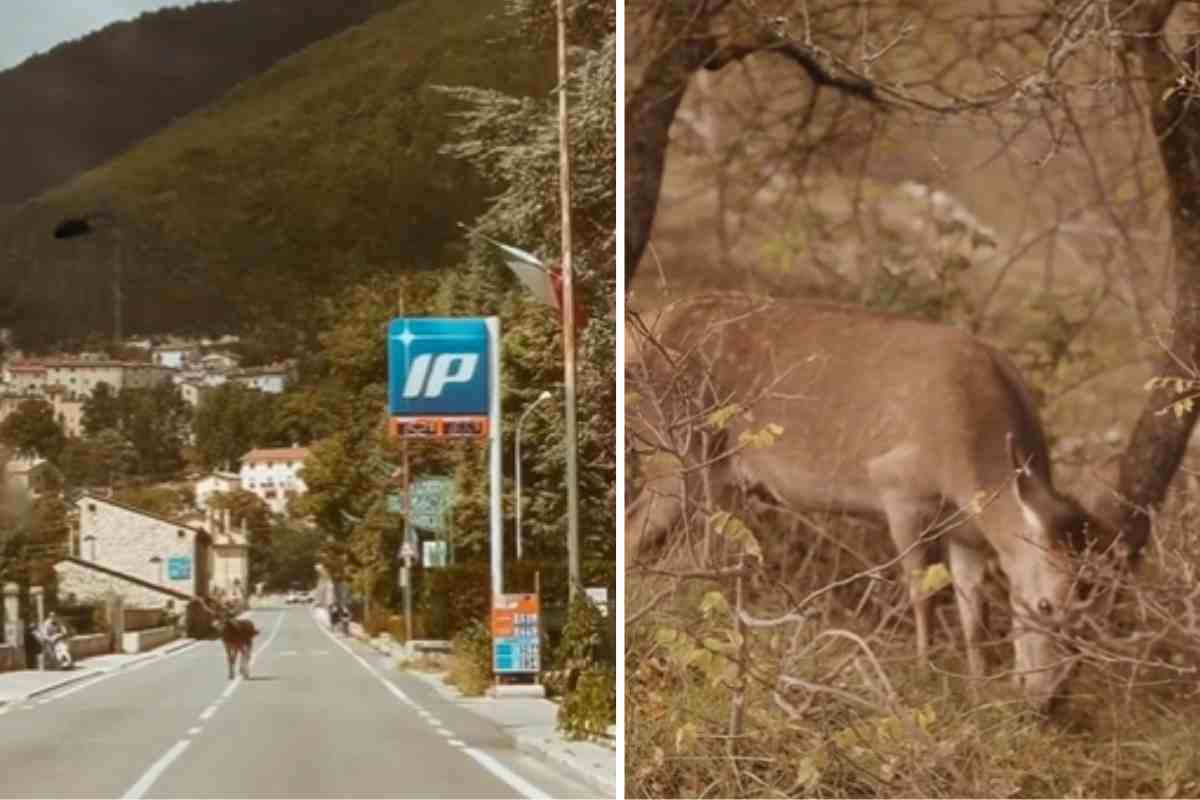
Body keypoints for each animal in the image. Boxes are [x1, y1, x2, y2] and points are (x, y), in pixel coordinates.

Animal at [628, 292, 1113, 714]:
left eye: (1092, 613)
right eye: (1046, 604)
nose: (1050, 700)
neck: (968, 467)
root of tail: (645, 329)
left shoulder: (966, 534)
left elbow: (972, 612)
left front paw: (977, 690)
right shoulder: (899, 489)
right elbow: (922, 593)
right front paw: (924, 675)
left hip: (715, 476)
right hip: (674, 449)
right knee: (639, 532)